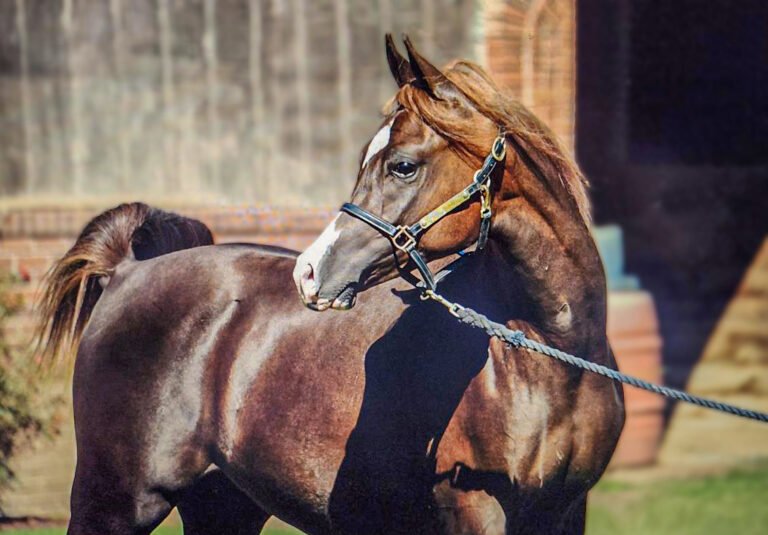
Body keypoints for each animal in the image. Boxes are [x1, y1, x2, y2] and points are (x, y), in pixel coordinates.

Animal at [36, 36, 624, 534]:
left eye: (402, 165)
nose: (310, 272)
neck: (548, 356)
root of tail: (127, 271)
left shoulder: (565, 512)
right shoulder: (476, 511)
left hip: (222, 503)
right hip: (113, 503)